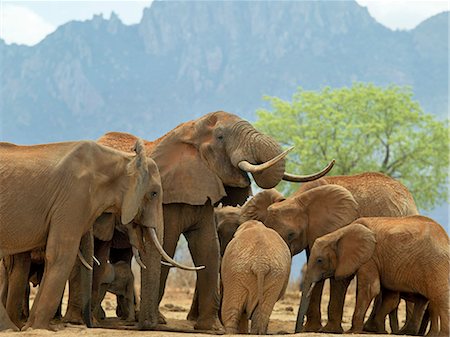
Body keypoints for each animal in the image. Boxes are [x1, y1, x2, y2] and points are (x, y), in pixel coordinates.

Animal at [0, 138, 163, 328]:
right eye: (154, 193)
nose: (91, 325)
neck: (122, 158)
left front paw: (31, 327)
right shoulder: (74, 197)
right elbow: (61, 255)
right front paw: (38, 328)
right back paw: (12, 328)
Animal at [96, 109, 332, 328]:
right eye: (220, 137)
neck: (190, 129)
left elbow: (208, 247)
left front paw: (212, 328)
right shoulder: (167, 198)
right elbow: (168, 245)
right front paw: (161, 322)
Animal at [260, 172, 418, 332]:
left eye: (291, 234)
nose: (298, 328)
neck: (299, 199)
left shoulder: (342, 224)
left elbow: (340, 275)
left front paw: (329, 330)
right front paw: (311, 329)